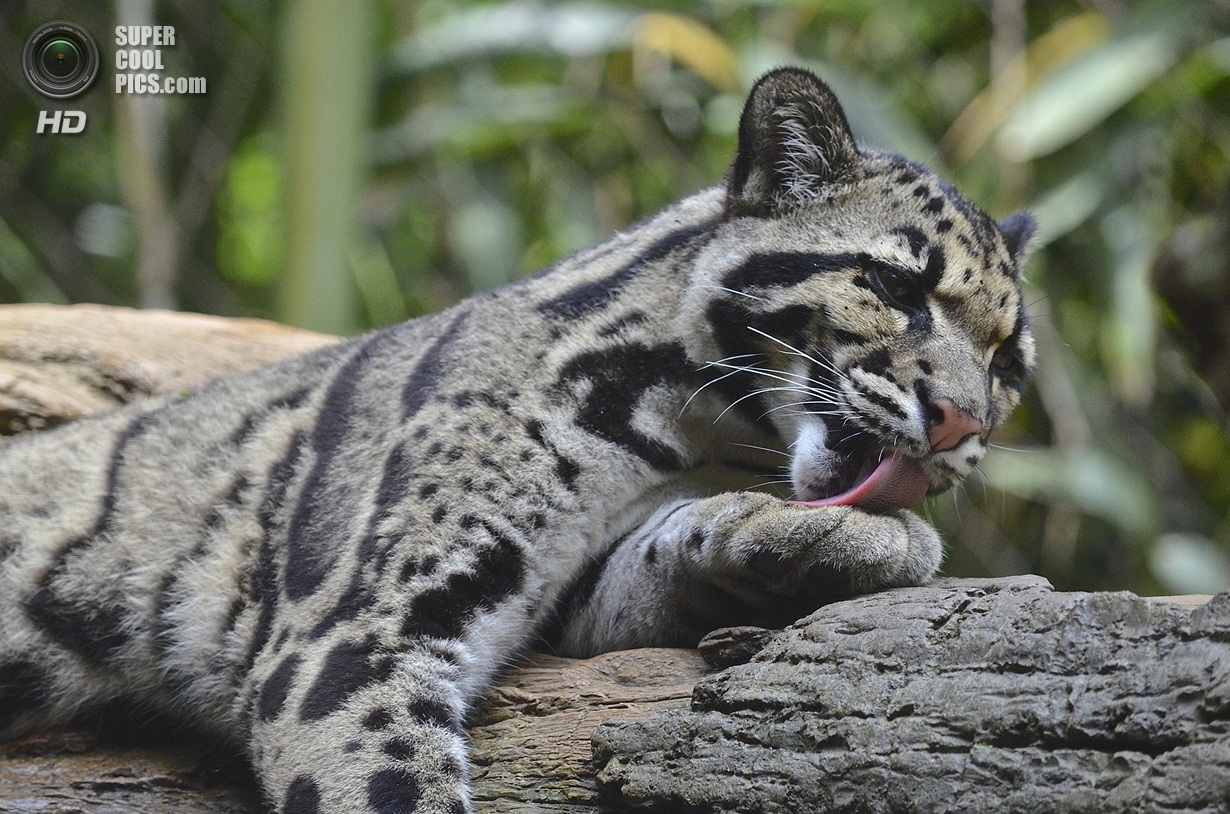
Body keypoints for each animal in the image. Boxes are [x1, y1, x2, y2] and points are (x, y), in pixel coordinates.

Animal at [0, 68, 1033, 811]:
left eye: (1008, 361)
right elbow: (385, 782)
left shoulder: (565, 594)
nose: (963, 420)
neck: (672, 426)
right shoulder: (349, 635)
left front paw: (806, 535)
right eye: (894, 287)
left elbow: (647, 564)